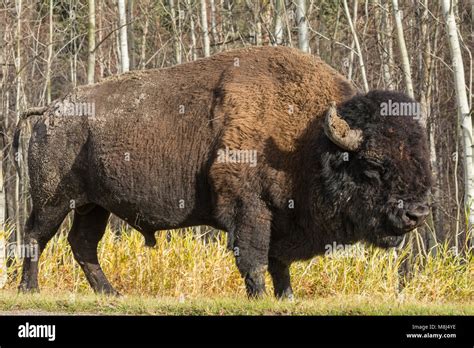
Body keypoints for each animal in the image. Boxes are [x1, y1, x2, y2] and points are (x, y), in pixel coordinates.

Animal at [15, 44, 430, 298]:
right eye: (373, 165)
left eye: (422, 159)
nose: (417, 212)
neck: (309, 138)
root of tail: (50, 110)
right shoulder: (248, 207)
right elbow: (254, 256)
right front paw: (260, 297)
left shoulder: (281, 218)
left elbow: (278, 262)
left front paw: (286, 297)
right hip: (54, 199)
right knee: (36, 236)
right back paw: (30, 290)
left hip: (93, 205)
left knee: (82, 244)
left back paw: (111, 293)